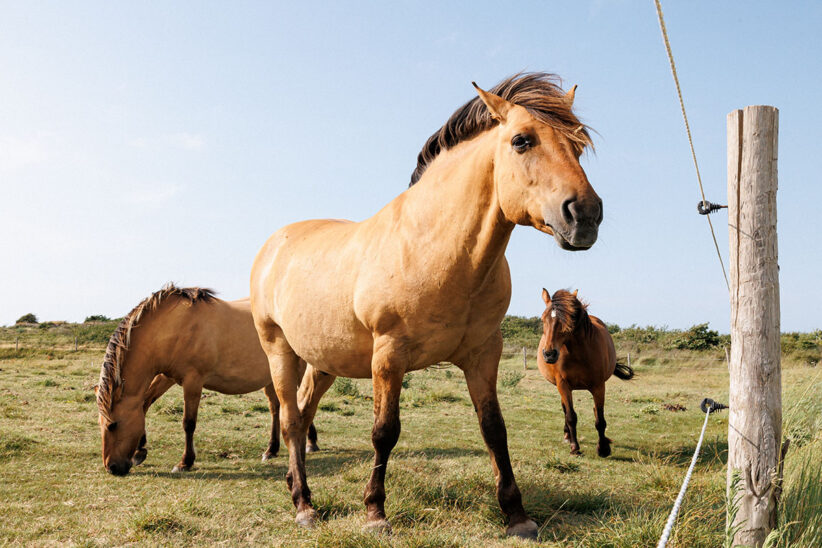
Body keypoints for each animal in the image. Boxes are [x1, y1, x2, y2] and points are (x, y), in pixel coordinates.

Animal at [94, 284, 318, 478]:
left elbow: (188, 423)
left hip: (295, 371)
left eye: (113, 425)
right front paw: (140, 450)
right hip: (272, 376)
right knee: (276, 408)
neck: (175, 326)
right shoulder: (166, 377)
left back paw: (310, 442)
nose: (111, 468)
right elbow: (145, 404)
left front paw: (185, 462)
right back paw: (271, 450)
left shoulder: (193, 381)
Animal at [251, 73, 604, 540]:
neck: (433, 247)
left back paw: (297, 484)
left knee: (305, 413)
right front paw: (375, 512)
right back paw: (304, 504)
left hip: (324, 360)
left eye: (578, 145)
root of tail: (274, 243)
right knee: (292, 419)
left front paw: (517, 515)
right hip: (278, 350)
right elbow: (385, 432)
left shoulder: (482, 354)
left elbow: (494, 429)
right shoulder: (388, 355)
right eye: (522, 141)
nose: (585, 215)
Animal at [536, 288, 636, 460]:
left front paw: (603, 449)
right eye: (543, 318)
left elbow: (600, 419)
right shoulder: (563, 385)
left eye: (569, 320)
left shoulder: (598, 386)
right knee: (565, 409)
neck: (578, 353)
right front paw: (575, 448)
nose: (549, 354)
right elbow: (571, 416)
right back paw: (567, 436)